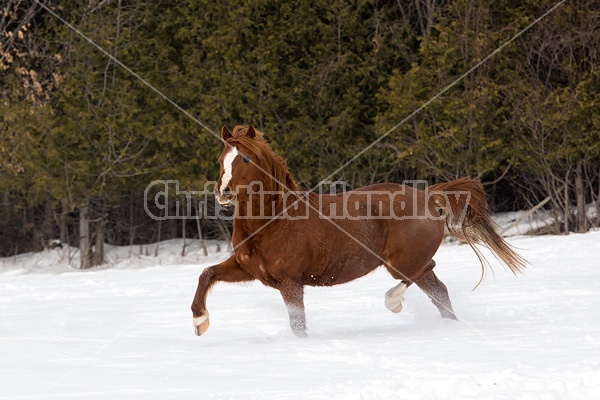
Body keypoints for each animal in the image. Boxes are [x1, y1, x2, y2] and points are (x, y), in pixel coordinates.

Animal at [191, 125, 524, 338]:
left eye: (246, 159)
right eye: (221, 160)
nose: (223, 192)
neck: (274, 220)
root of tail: (427, 196)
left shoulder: (290, 282)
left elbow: (298, 325)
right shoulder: (247, 268)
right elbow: (207, 273)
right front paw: (200, 321)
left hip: (401, 262)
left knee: (419, 275)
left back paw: (394, 302)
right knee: (438, 291)